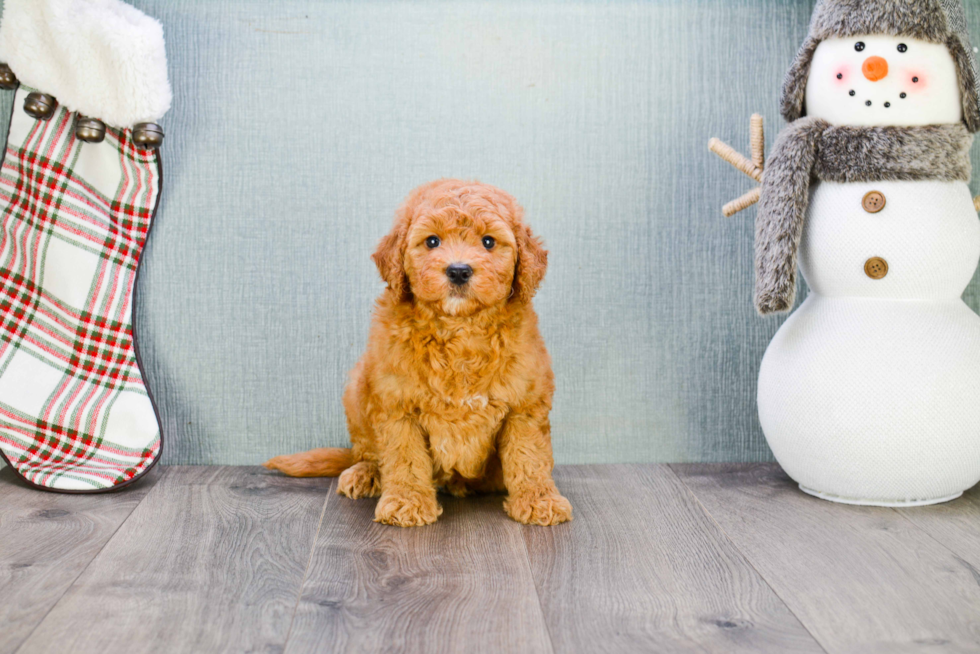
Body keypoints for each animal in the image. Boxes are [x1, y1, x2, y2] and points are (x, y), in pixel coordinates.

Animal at [264, 179, 572, 528]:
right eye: (432, 241)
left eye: (489, 242)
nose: (459, 271)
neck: (459, 329)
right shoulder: (397, 404)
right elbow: (405, 458)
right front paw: (407, 502)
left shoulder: (525, 404)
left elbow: (529, 455)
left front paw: (539, 500)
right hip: (357, 390)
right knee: (367, 451)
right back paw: (366, 473)